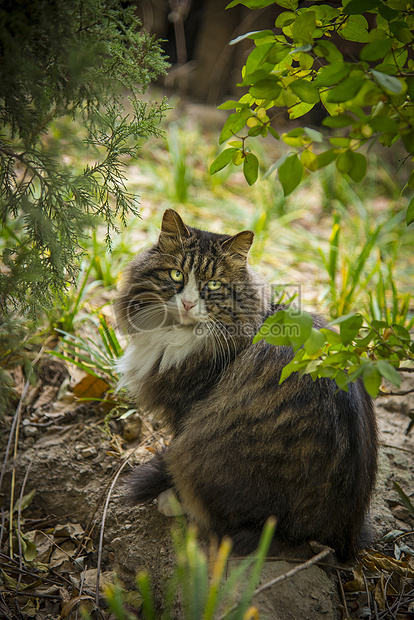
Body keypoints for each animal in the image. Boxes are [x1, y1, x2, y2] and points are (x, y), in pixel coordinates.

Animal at [115, 209, 378, 560]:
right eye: (175, 274)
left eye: (213, 284)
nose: (187, 304)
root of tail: (340, 536)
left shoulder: (186, 411)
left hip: (200, 453)